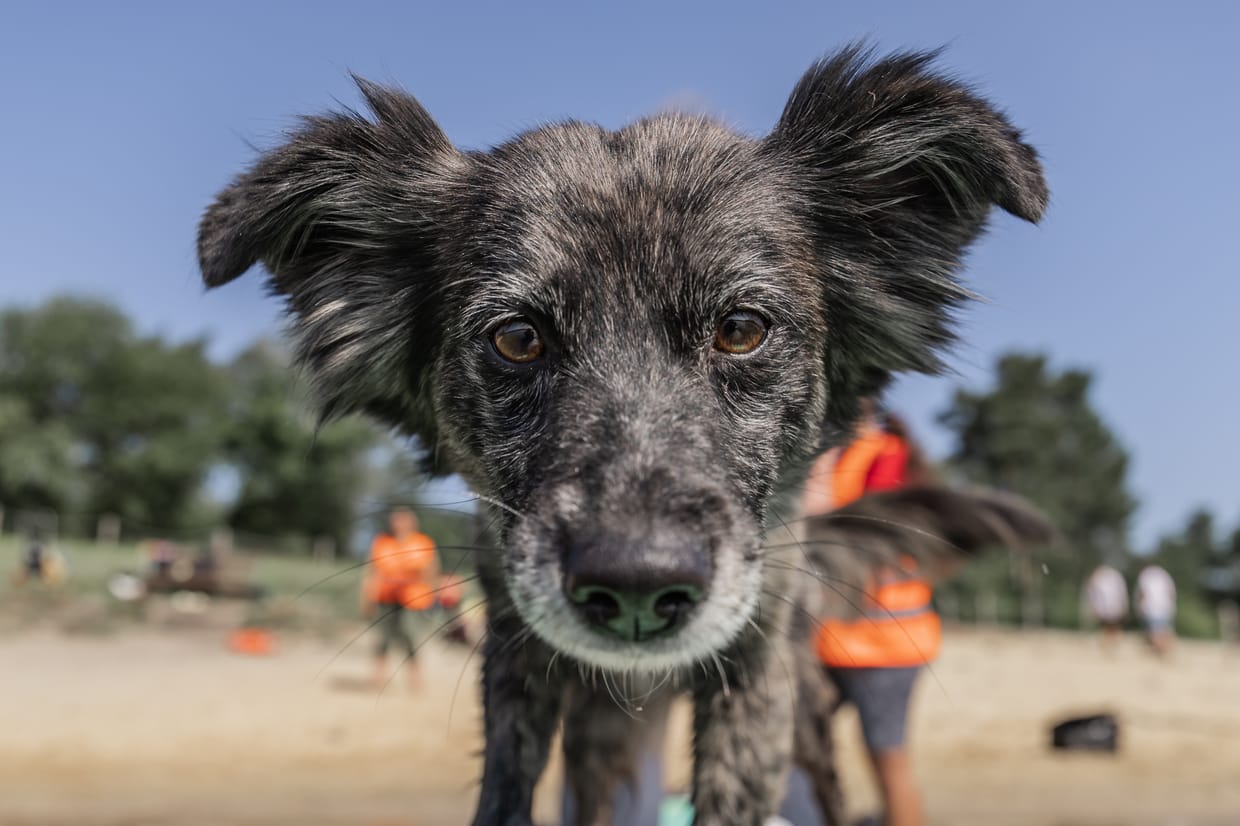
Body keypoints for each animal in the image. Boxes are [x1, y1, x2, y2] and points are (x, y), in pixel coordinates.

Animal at [198, 46, 1051, 823]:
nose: (638, 588)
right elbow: (506, 791)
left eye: (742, 329)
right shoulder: (517, 655)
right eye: (517, 338)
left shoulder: (754, 670)